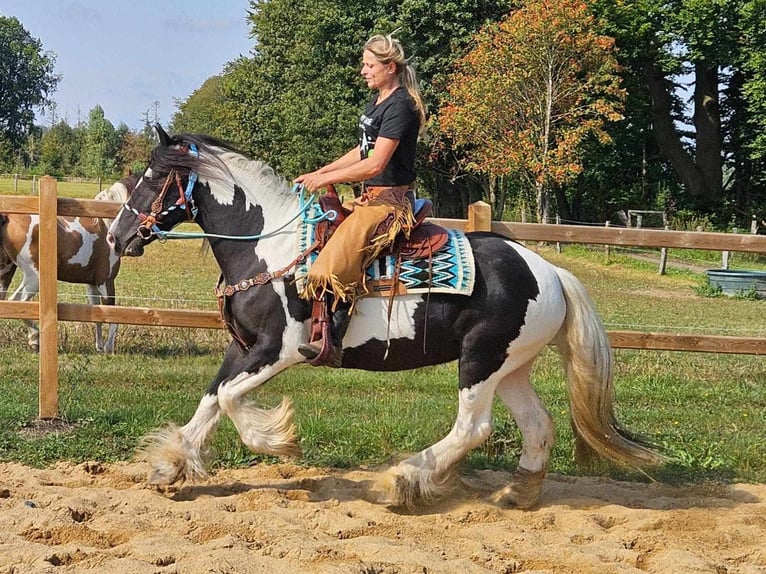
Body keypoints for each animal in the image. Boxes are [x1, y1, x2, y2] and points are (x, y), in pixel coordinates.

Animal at [0, 174, 138, 356]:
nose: (134, 250)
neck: (106, 226)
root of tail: (8, 217)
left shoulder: (92, 284)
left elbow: (97, 315)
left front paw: (100, 347)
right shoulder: (106, 282)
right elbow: (112, 314)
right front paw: (109, 348)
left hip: (8, 272)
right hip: (34, 278)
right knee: (19, 303)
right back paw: (35, 339)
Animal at [103, 128, 664, 510]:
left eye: (155, 176)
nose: (115, 236)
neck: (269, 247)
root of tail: (551, 272)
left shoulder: (277, 349)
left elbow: (228, 398)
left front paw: (280, 440)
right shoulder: (242, 347)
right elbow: (211, 398)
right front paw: (170, 465)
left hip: (481, 361)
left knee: (473, 427)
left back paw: (402, 481)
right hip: (511, 367)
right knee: (537, 426)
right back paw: (515, 494)